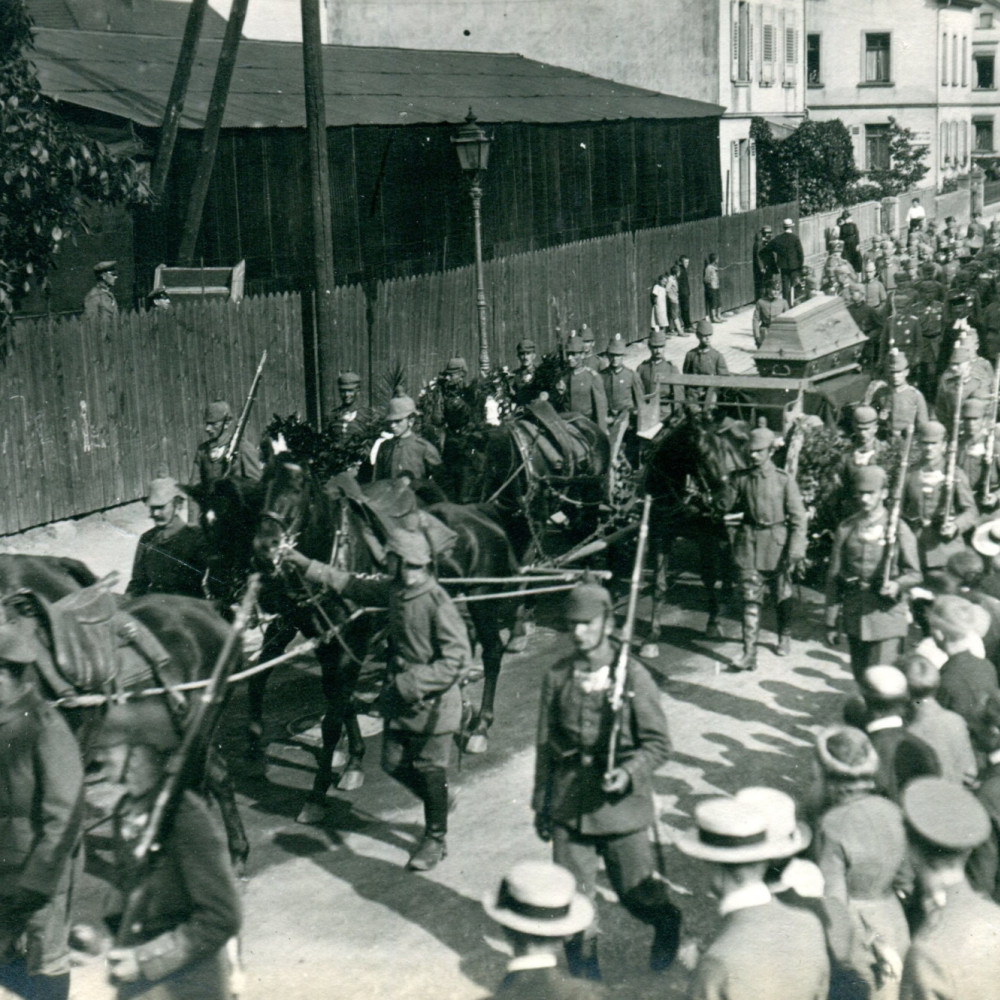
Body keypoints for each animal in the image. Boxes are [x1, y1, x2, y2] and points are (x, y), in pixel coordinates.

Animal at [644, 412, 748, 640]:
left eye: (725, 452)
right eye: (702, 454)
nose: (726, 499)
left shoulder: (705, 534)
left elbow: (708, 577)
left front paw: (713, 623)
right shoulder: (659, 533)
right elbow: (659, 583)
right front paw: (653, 631)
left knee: (729, 550)